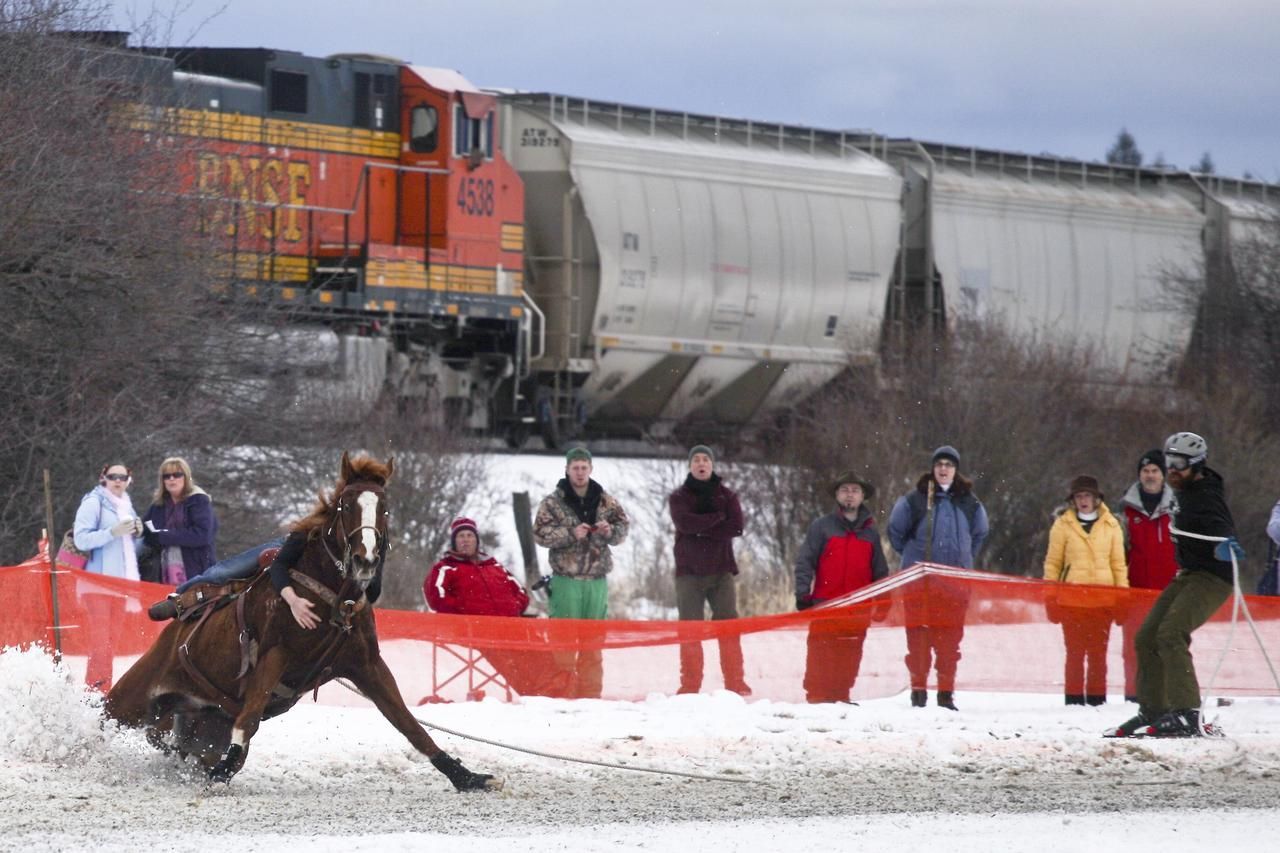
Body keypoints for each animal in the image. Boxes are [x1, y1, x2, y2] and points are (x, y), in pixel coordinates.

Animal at [104, 450, 496, 788]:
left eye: (383, 507)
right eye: (346, 504)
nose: (365, 559)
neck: (331, 595)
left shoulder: (367, 665)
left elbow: (409, 724)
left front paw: (465, 777)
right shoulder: (274, 656)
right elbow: (249, 720)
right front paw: (223, 771)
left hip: (197, 726)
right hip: (130, 700)